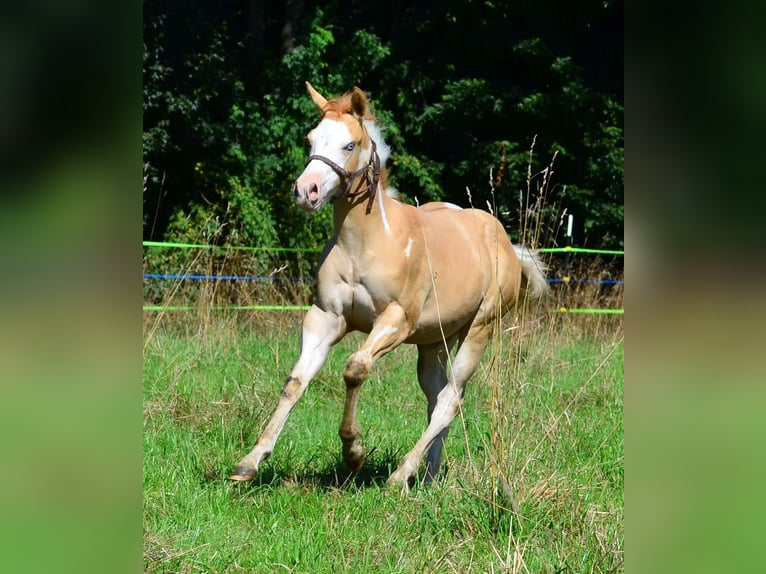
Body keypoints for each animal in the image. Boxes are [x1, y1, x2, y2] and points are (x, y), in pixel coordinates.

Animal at [230, 82, 548, 488]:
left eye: (349, 144)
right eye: (311, 139)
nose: (307, 190)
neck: (365, 244)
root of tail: (504, 242)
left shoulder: (396, 321)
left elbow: (355, 368)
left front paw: (353, 453)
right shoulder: (324, 318)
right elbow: (295, 383)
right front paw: (249, 462)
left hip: (479, 328)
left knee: (450, 400)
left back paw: (401, 476)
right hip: (434, 342)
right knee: (438, 397)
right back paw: (428, 476)